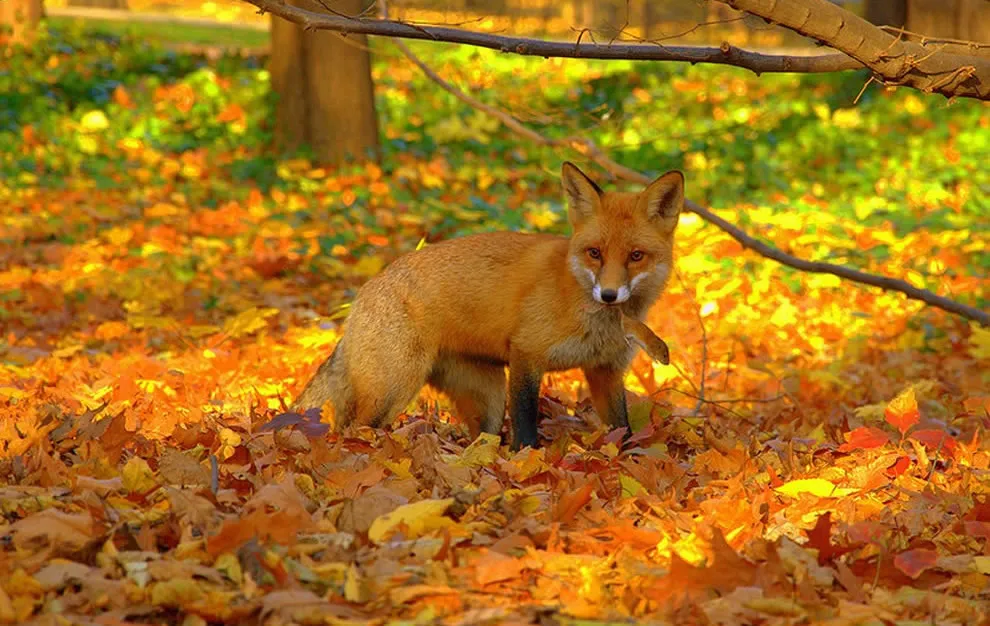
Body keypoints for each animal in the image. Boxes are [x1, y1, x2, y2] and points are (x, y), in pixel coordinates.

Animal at [290, 158, 684, 446]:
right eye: (595, 253)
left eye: (636, 256)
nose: (609, 295)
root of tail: (362, 293)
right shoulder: (526, 354)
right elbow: (525, 426)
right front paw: (527, 461)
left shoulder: (605, 370)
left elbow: (622, 430)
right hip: (392, 388)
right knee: (352, 429)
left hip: (487, 399)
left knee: (482, 436)